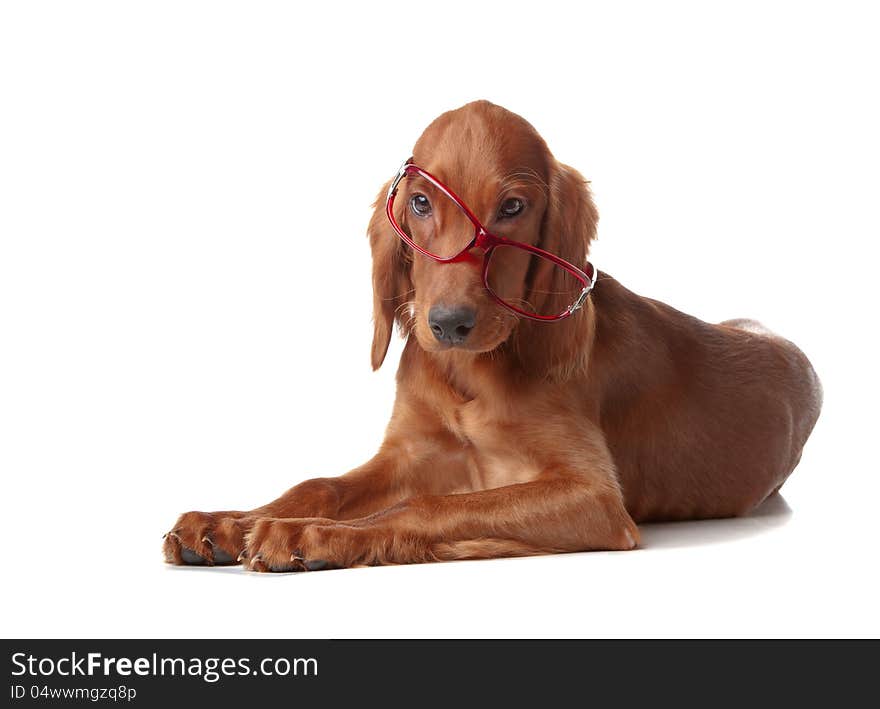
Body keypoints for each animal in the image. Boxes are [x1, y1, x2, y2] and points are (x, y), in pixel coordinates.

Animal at [162, 99, 820, 572]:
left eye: (512, 208)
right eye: (419, 203)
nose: (448, 324)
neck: (470, 375)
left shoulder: (592, 496)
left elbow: (428, 505)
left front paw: (313, 536)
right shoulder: (408, 451)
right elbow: (318, 484)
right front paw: (230, 522)